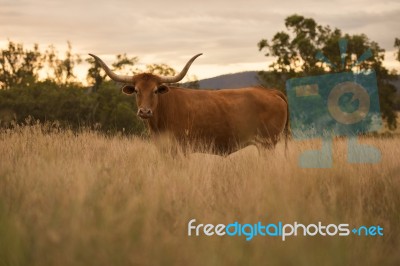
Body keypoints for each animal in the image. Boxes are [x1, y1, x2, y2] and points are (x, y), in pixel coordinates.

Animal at [88, 53, 288, 154]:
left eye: (155, 90)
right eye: (137, 90)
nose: (144, 111)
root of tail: (269, 91)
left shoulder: (182, 149)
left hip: (267, 144)